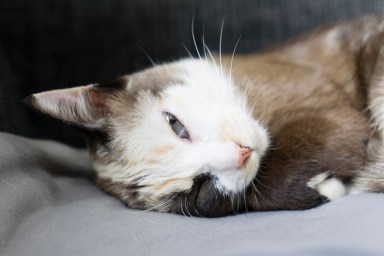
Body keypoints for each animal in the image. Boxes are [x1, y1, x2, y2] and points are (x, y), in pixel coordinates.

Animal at [26, 15, 384, 217]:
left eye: (176, 125)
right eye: (198, 189)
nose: (243, 153)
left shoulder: (326, 108)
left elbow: (276, 177)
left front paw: (332, 187)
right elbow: (261, 193)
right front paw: (329, 188)